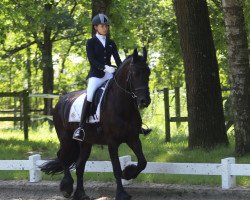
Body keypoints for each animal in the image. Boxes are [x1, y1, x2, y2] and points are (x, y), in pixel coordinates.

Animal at [40, 48, 150, 200]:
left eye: (148, 73)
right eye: (135, 73)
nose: (145, 101)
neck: (122, 105)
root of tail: (61, 100)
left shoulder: (133, 138)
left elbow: (142, 162)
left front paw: (128, 173)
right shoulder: (112, 142)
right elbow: (116, 167)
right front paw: (121, 193)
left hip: (86, 142)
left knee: (79, 166)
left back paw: (81, 193)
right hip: (66, 139)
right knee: (63, 158)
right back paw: (67, 187)